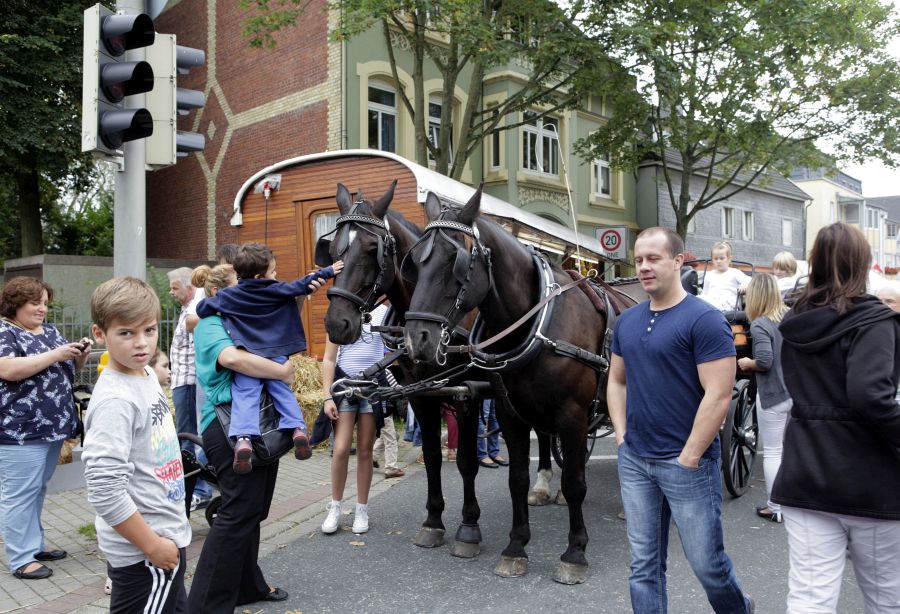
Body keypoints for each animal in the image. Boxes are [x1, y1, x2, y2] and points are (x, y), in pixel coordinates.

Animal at [317, 182, 567, 559]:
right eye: (333, 249)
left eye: (374, 248)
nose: (336, 324)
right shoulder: (423, 395)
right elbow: (433, 456)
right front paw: (433, 521)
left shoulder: (466, 395)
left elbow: (465, 460)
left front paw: (469, 527)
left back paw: (551, 486)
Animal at [402, 188, 636, 584]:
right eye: (415, 262)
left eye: (455, 260)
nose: (417, 339)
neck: (538, 320)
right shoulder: (511, 413)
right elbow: (517, 479)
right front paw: (516, 547)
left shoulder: (572, 415)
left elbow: (574, 483)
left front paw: (575, 552)